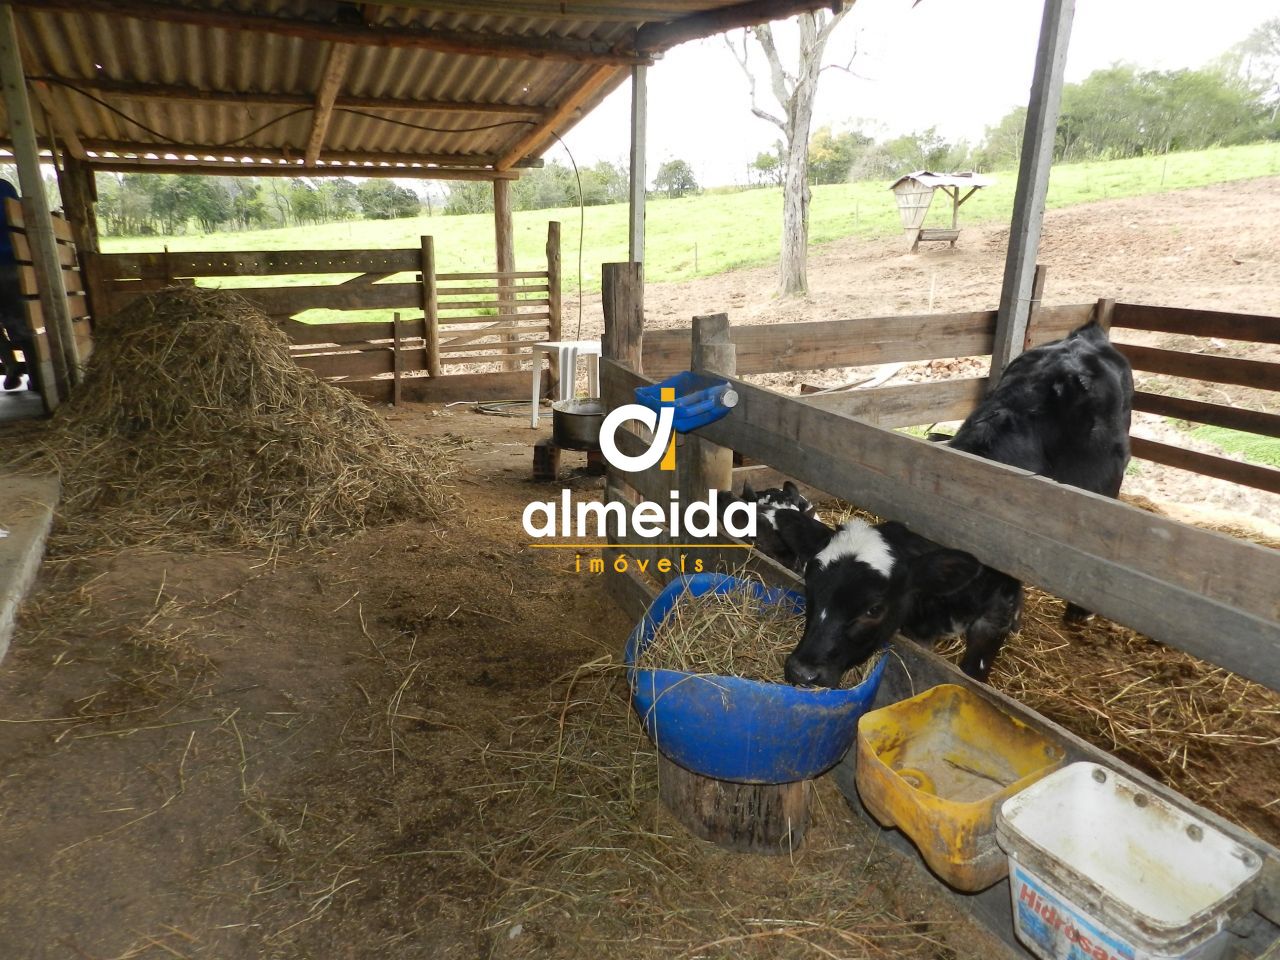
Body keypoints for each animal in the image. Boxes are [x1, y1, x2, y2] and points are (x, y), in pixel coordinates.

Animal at [778, 321, 1131, 686]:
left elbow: (973, 675)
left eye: (874, 608)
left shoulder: (994, 614)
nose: (801, 671)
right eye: (810, 585)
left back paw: (1079, 613)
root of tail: (1085, 336)